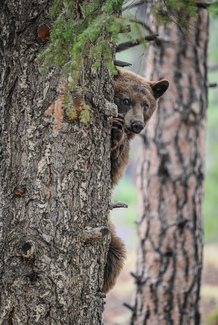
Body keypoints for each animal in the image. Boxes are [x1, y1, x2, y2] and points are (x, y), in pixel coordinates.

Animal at [103, 69, 169, 292]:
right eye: (126, 99)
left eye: (146, 104)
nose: (137, 124)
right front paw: (115, 127)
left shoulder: (124, 153)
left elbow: (113, 172)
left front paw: (115, 132)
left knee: (115, 253)